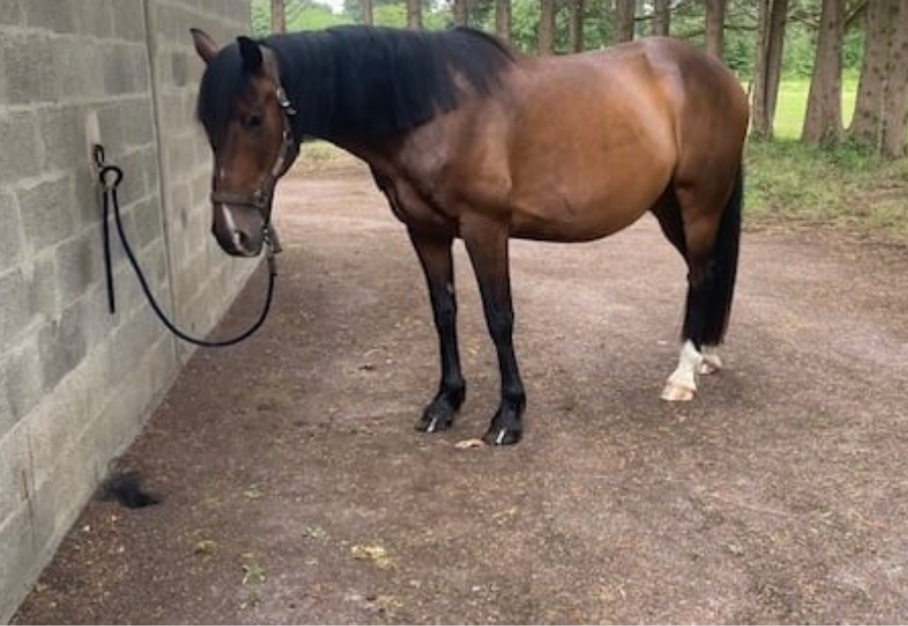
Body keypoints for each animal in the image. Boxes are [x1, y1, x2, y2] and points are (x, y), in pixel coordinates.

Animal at [190, 25, 749, 446]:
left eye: (254, 118)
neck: (436, 110)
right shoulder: (425, 231)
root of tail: (722, 77)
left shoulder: (486, 228)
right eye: (206, 126)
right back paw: (705, 356)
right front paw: (445, 403)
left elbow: (499, 317)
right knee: (703, 271)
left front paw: (508, 416)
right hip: (668, 205)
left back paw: (682, 376)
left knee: (702, 273)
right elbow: (444, 313)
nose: (232, 233)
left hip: (699, 201)